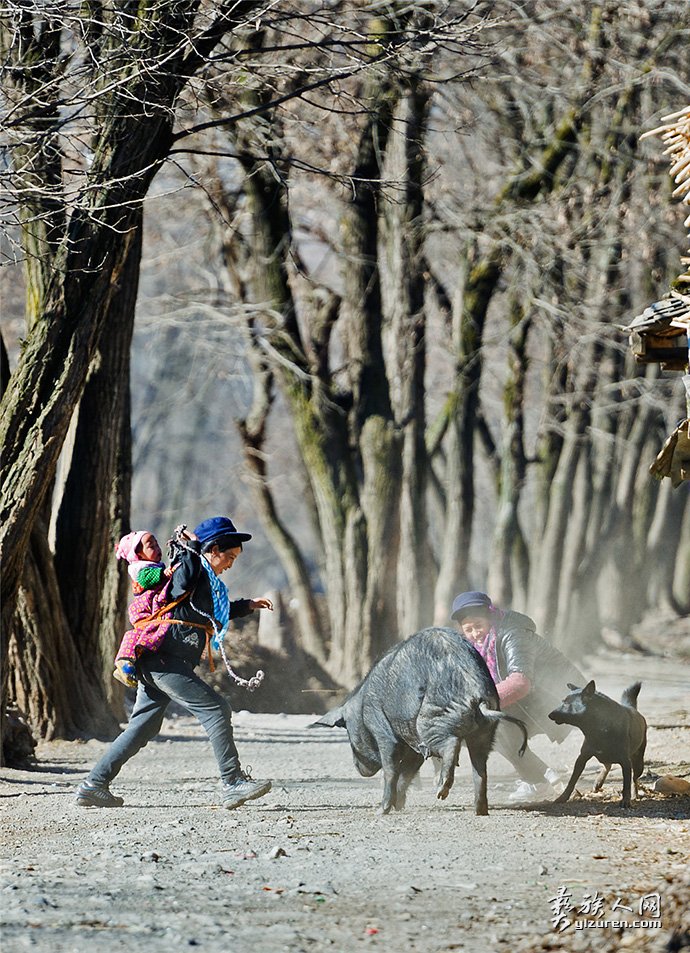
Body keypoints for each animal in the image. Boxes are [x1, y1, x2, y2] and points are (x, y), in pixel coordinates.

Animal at [312, 624, 528, 820]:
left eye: (348, 731)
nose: (359, 769)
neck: (362, 705)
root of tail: (476, 693)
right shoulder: (413, 745)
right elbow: (407, 772)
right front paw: (398, 806)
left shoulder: (382, 729)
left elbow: (391, 769)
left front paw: (381, 811)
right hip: (484, 733)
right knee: (480, 768)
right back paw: (479, 810)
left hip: (428, 722)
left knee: (451, 744)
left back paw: (441, 792)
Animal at [548, 680, 644, 808]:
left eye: (566, 703)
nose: (549, 714)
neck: (597, 727)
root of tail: (633, 708)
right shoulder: (582, 758)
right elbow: (572, 781)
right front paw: (563, 797)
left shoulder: (625, 762)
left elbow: (626, 783)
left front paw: (626, 800)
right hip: (602, 757)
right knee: (607, 765)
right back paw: (599, 781)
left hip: (638, 763)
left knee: (634, 778)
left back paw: (634, 794)